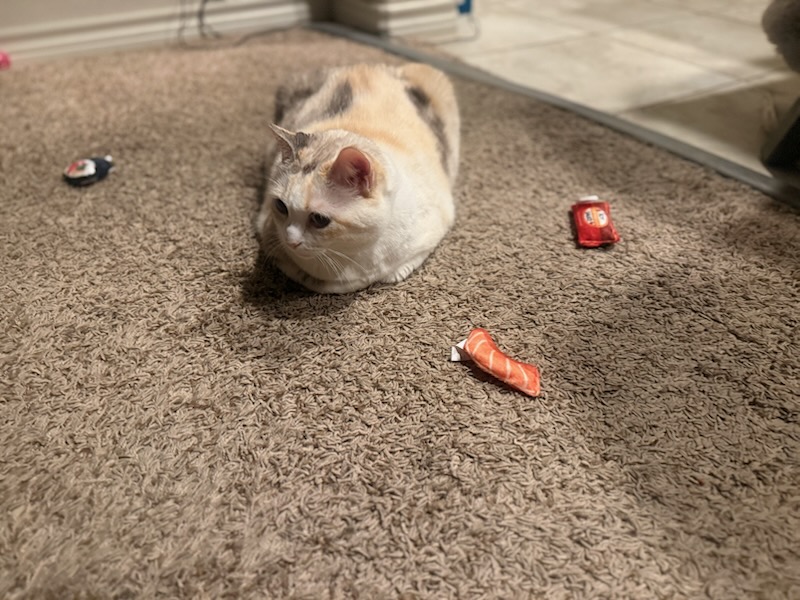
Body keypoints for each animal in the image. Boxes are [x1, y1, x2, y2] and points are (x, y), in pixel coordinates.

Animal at [255, 63, 460, 293]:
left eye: (319, 219)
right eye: (281, 206)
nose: (291, 241)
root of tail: (371, 66)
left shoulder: (438, 221)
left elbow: (402, 267)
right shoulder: (266, 228)